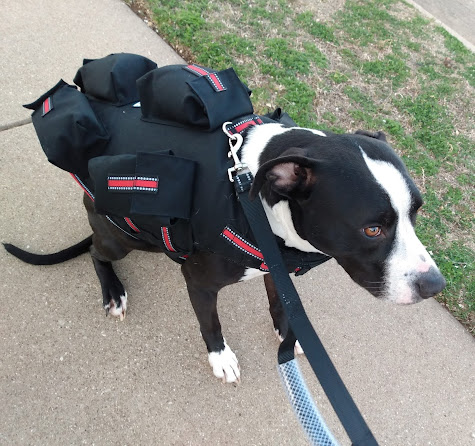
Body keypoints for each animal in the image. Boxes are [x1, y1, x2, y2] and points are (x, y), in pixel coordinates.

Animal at [5, 55, 448, 384]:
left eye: (416, 213)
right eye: (372, 228)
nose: (435, 286)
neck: (254, 189)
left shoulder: (276, 264)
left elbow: (282, 302)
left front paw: (288, 334)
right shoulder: (200, 283)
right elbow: (211, 324)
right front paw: (220, 358)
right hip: (120, 236)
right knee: (98, 254)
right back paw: (113, 290)